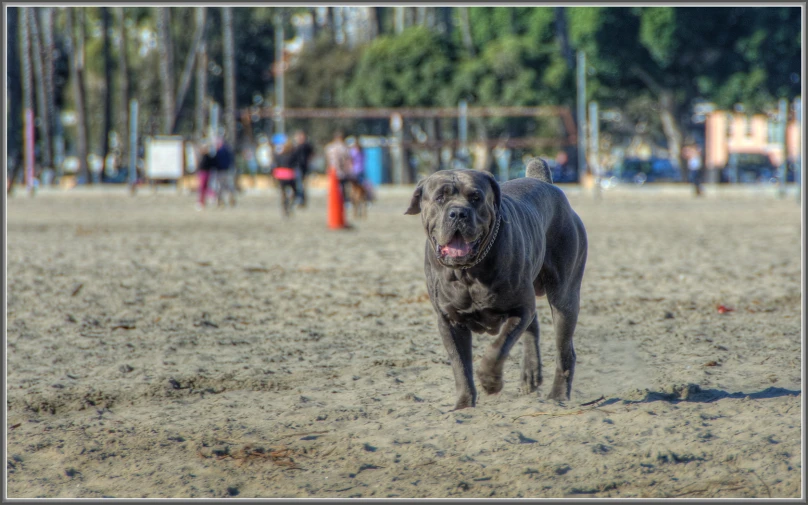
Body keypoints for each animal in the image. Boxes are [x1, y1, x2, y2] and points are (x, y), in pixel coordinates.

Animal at [404, 159, 588, 408]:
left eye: (476, 197)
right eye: (440, 197)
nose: (458, 213)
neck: (467, 272)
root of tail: (545, 183)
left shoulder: (519, 309)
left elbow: (499, 347)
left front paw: (490, 380)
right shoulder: (449, 321)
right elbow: (460, 366)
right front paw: (463, 405)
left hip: (564, 298)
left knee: (564, 350)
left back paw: (558, 395)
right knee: (534, 328)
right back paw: (530, 374)